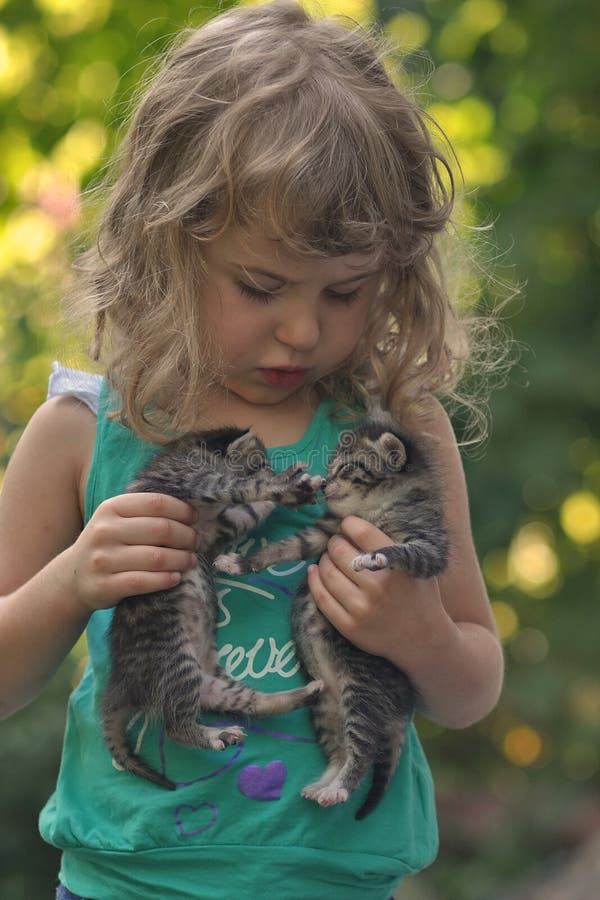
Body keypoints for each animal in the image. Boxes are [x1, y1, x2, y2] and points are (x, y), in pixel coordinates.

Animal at [102, 428, 324, 788]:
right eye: (260, 464)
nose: (272, 468)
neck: (195, 448)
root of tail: (122, 683)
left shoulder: (217, 527)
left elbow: (251, 508)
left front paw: (291, 484)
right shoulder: (197, 480)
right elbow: (245, 488)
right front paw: (285, 484)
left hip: (211, 680)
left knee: (248, 702)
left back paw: (302, 694)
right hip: (178, 664)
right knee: (175, 727)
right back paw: (210, 735)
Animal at [213, 418, 448, 820]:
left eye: (348, 468)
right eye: (333, 467)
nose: (324, 485)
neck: (375, 504)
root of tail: (401, 707)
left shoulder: (430, 544)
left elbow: (405, 550)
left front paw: (377, 556)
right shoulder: (322, 532)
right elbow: (282, 548)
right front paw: (240, 562)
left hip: (362, 688)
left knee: (363, 750)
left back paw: (339, 788)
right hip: (325, 701)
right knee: (340, 747)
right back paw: (327, 782)